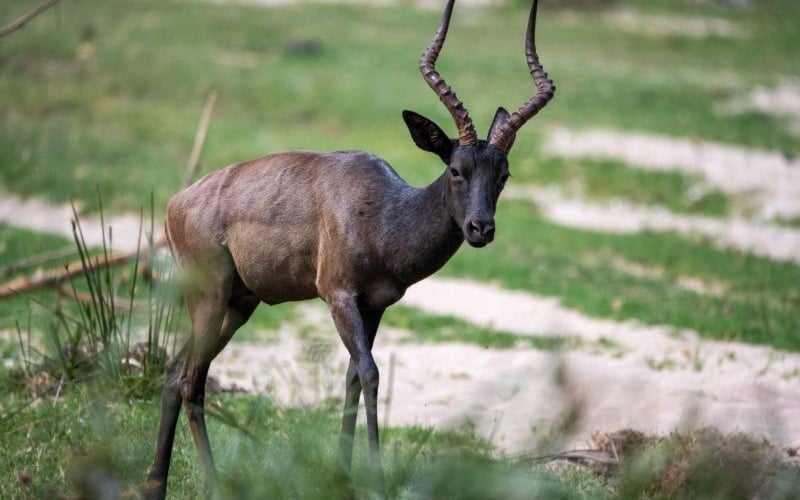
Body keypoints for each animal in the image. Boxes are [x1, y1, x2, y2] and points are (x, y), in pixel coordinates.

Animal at [145, 0, 554, 497]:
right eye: (456, 168)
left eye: (504, 174)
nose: (481, 228)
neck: (384, 213)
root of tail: (178, 201)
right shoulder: (337, 296)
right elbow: (373, 373)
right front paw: (374, 481)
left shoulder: (374, 305)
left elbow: (353, 377)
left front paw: (341, 477)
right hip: (210, 297)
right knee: (191, 381)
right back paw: (214, 485)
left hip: (239, 304)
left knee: (176, 374)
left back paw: (155, 484)